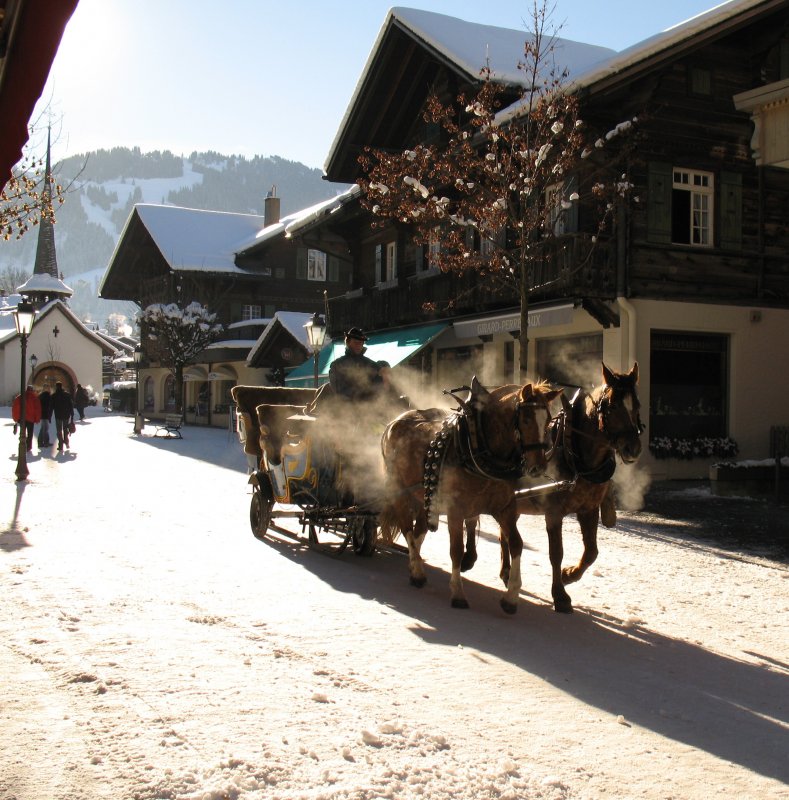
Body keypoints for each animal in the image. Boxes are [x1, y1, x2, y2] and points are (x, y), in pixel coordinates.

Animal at [380, 378, 560, 616]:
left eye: (548, 419)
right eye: (527, 419)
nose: (538, 467)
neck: (480, 446)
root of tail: (393, 422)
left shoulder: (505, 508)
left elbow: (516, 544)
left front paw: (511, 597)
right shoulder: (456, 510)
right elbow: (456, 550)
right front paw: (458, 593)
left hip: (423, 497)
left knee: (418, 532)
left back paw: (414, 563)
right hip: (399, 490)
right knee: (406, 528)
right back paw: (418, 571)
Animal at [464, 362, 644, 612]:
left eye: (636, 404)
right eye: (613, 405)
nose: (633, 448)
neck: (573, 451)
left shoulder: (588, 510)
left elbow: (591, 552)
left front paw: (569, 575)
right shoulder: (554, 512)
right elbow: (556, 553)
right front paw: (560, 594)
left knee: (504, 534)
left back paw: (506, 571)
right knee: (472, 520)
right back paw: (469, 558)